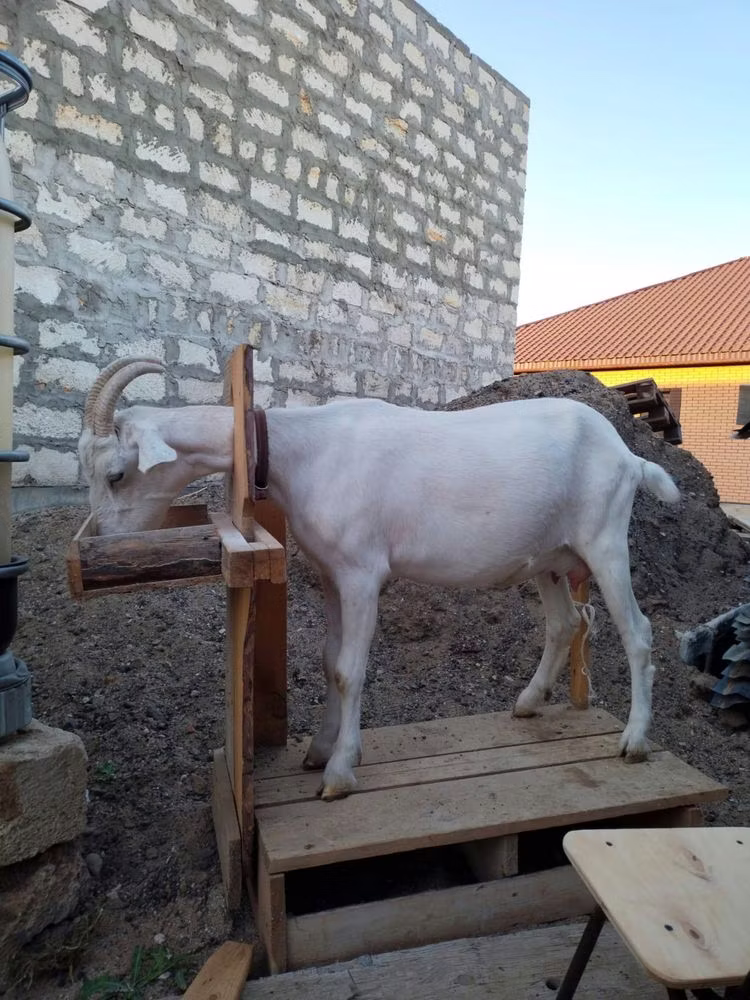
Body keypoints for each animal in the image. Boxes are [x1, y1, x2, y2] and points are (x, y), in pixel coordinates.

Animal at [79, 358, 680, 800]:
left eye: (116, 474)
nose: (101, 540)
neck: (306, 451)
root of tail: (629, 456)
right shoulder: (330, 573)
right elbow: (329, 662)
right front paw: (319, 750)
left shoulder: (363, 573)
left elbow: (350, 670)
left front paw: (340, 773)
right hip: (550, 558)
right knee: (565, 623)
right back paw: (529, 702)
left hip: (604, 539)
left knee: (638, 632)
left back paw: (634, 741)